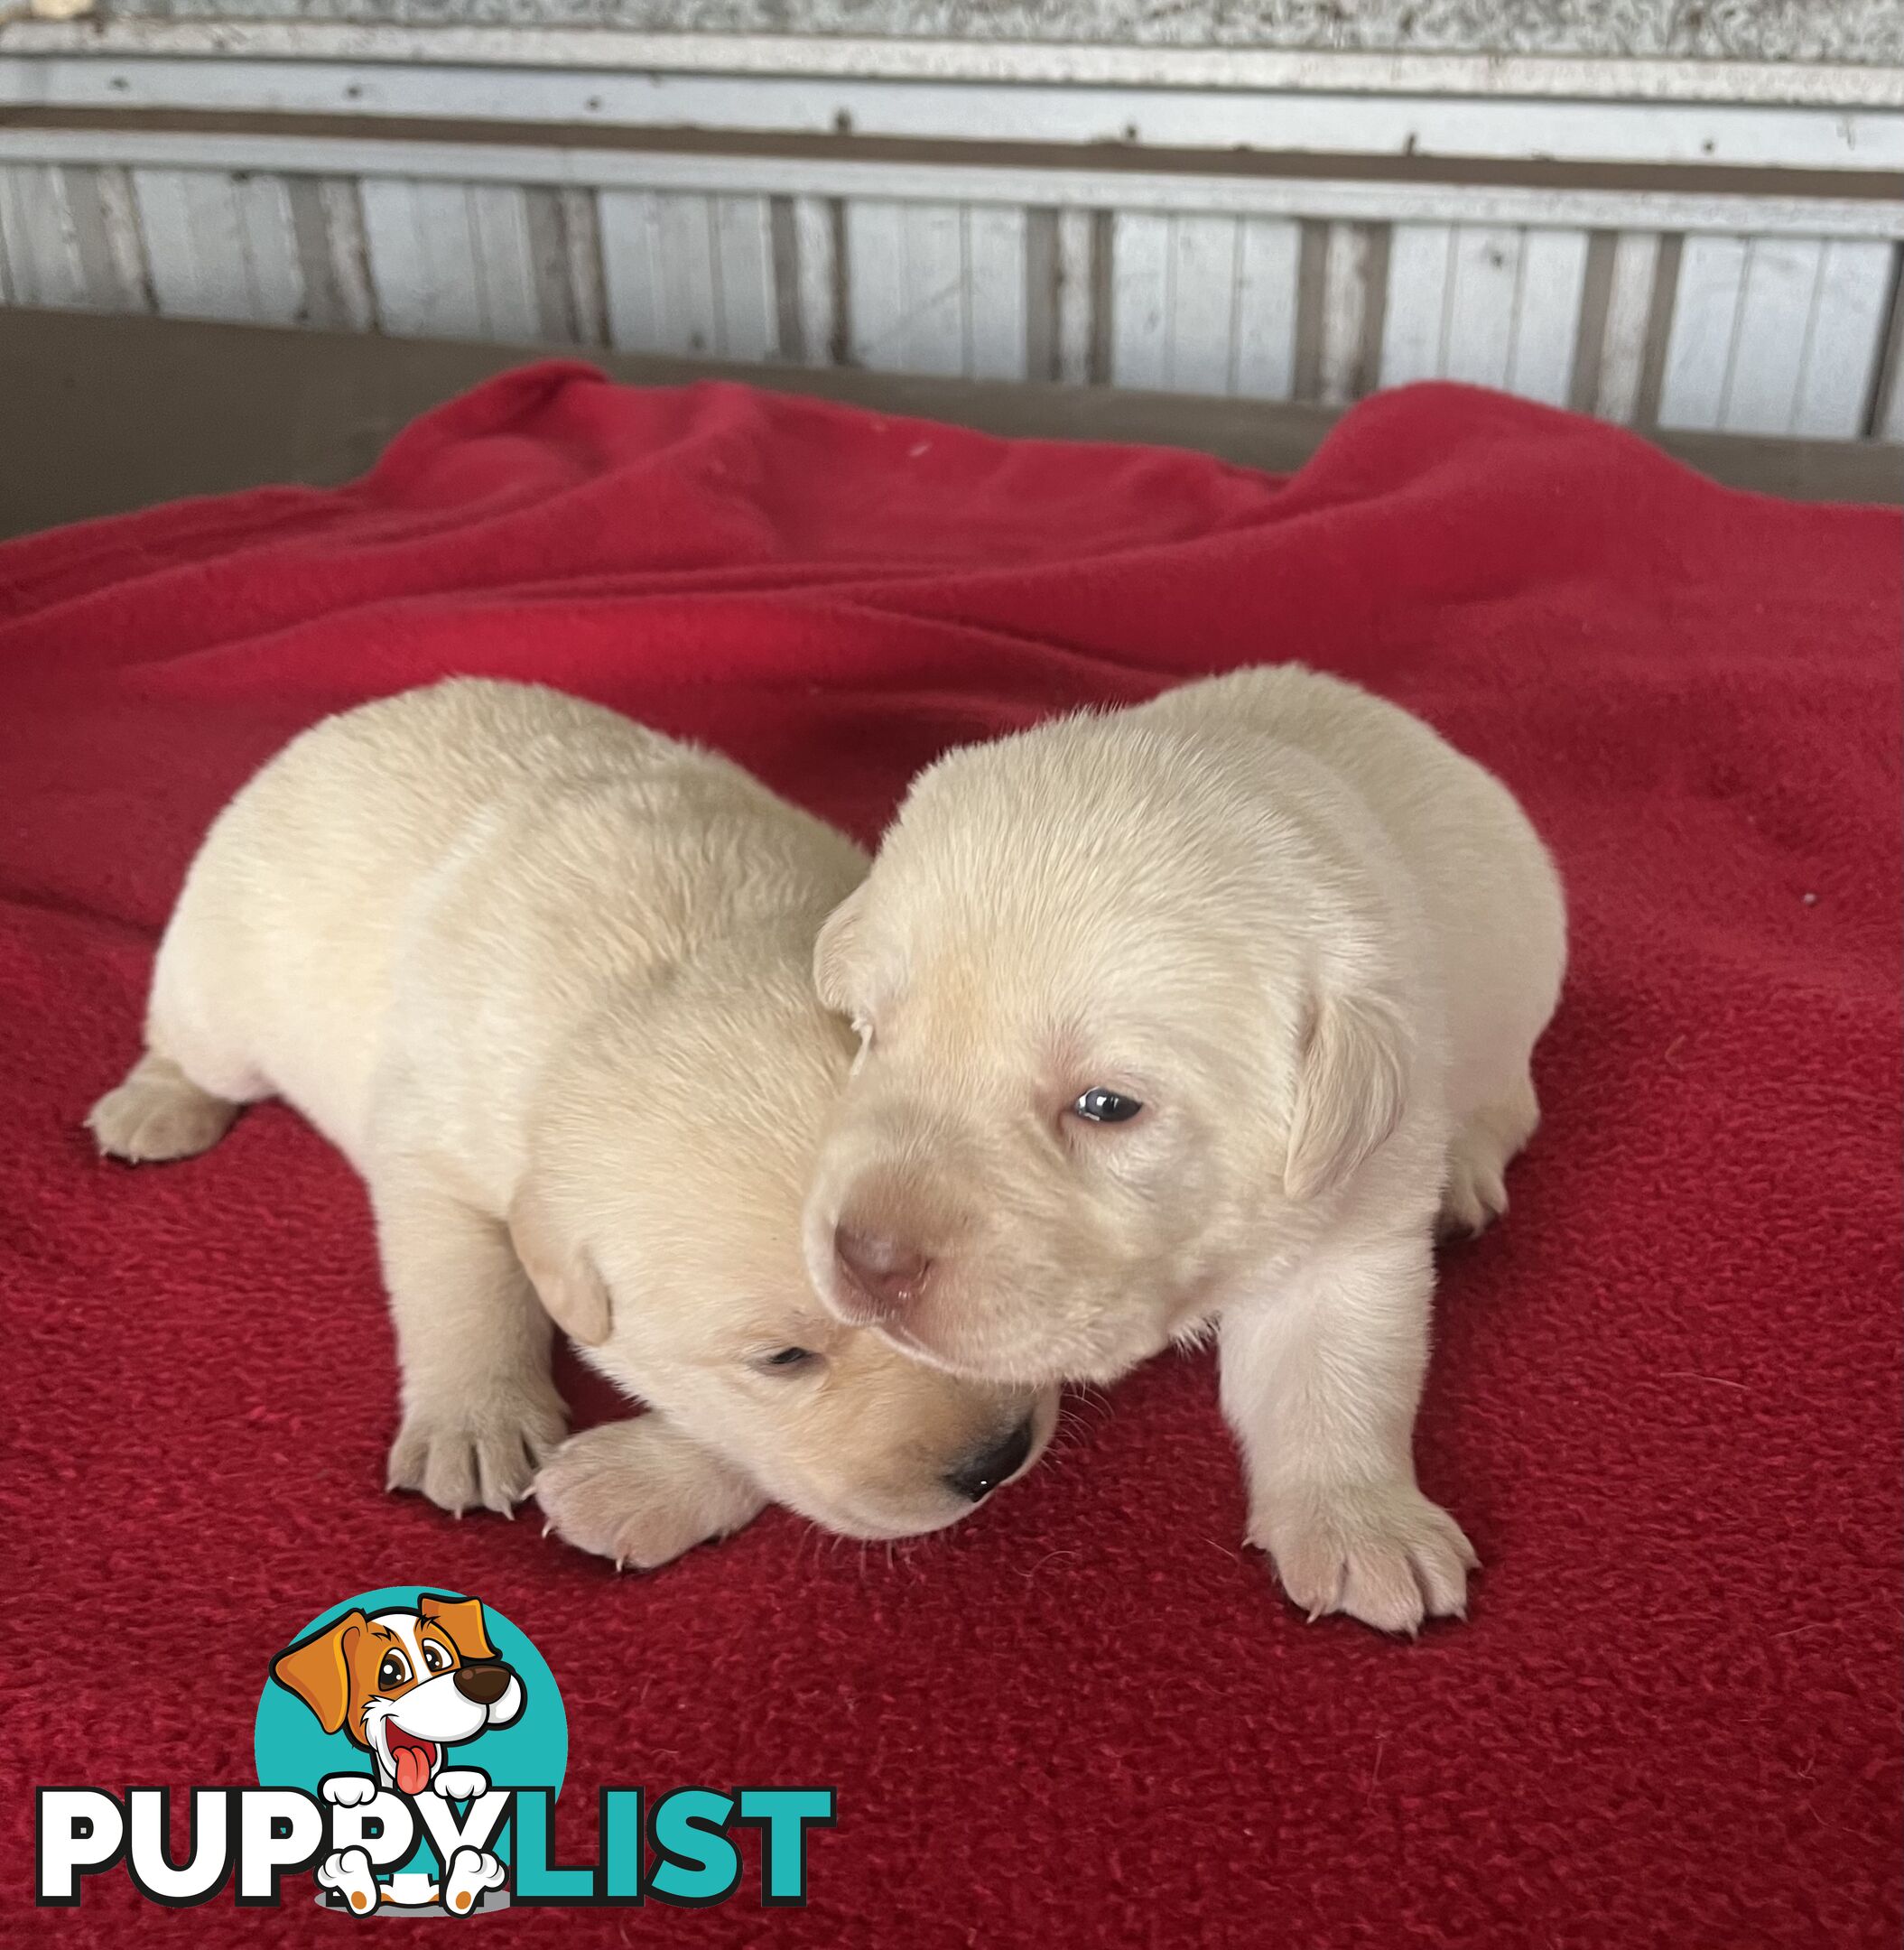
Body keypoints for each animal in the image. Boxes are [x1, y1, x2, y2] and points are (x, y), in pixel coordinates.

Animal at [88, 678, 1053, 1560]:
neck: (673, 970)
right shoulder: (429, 1142)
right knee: (186, 1037)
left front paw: (635, 1485)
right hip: (223, 973)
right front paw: (475, 1424)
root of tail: (341, 723)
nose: (997, 1460)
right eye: (781, 1358)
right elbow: (460, 1281)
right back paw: (154, 1106)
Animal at [803, 666, 1560, 1630]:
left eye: (1106, 1106)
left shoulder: (1354, 1213)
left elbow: (1337, 1368)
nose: (868, 1259)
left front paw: (1361, 1526)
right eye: (869, 1033)